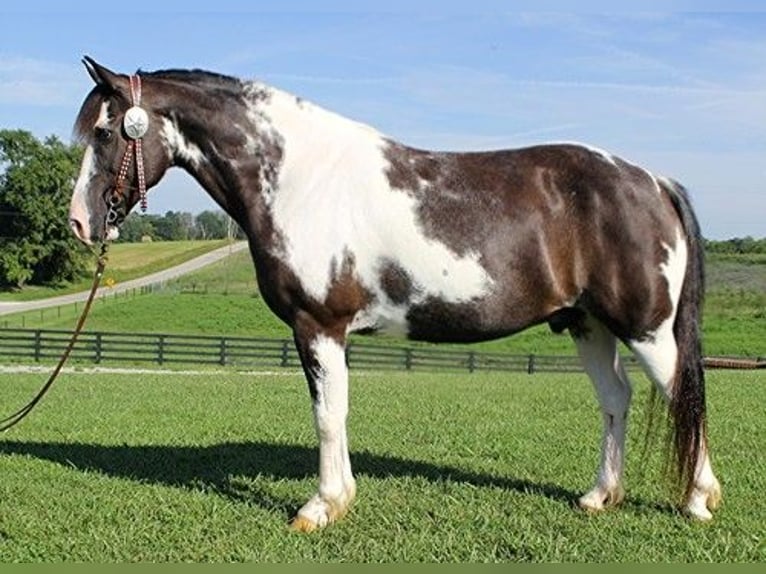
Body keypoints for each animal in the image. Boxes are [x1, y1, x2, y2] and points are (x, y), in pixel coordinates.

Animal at [69, 57, 724, 532]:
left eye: (105, 131)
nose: (79, 222)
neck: (301, 179)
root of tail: (651, 180)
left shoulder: (317, 325)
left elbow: (327, 414)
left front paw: (321, 507)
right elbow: (336, 412)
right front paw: (337, 499)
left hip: (647, 330)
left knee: (682, 397)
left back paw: (698, 500)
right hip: (588, 325)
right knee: (616, 399)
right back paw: (599, 495)